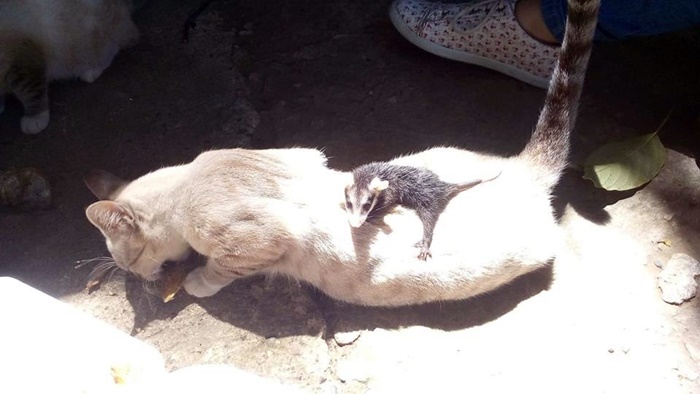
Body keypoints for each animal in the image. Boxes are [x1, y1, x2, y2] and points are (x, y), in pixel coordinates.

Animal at [0, 0, 138, 134]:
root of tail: (122, 6)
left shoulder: (23, 64)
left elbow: (32, 95)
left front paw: (34, 119)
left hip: (87, 42)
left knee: (113, 47)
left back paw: (90, 71)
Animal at [83, 0, 600, 306]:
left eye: (126, 262)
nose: (135, 280)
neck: (189, 182)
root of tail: (523, 168)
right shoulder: (302, 154)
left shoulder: (256, 238)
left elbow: (218, 268)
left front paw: (194, 284)